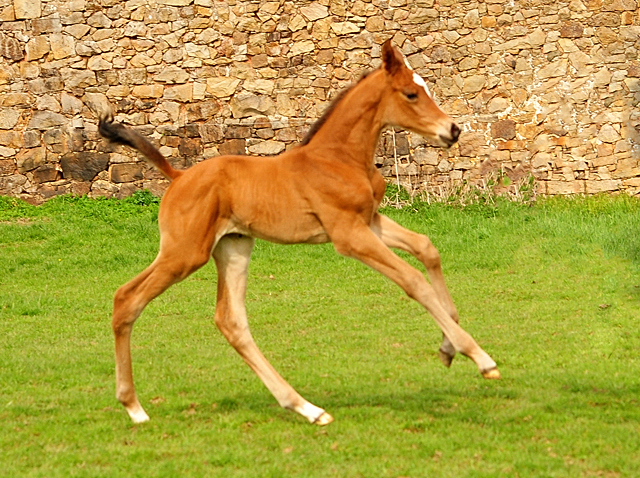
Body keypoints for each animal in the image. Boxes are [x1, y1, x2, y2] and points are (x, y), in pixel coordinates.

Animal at [100, 39, 500, 424]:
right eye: (411, 94)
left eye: (424, 87)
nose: (452, 131)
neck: (338, 158)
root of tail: (178, 176)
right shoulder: (347, 234)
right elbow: (412, 280)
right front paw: (480, 357)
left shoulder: (368, 220)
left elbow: (426, 247)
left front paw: (448, 347)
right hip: (184, 253)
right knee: (126, 299)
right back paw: (134, 407)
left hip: (233, 247)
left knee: (231, 321)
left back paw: (306, 408)